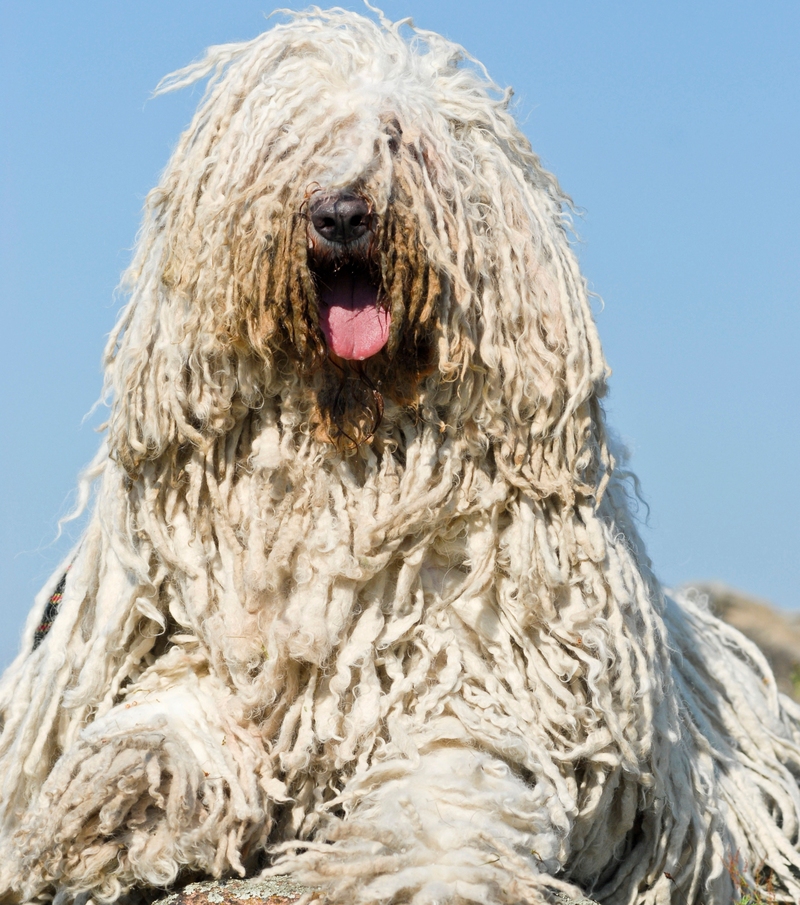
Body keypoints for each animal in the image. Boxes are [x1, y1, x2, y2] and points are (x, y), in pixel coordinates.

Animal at [1, 8, 800, 904]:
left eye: (399, 140)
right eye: (292, 139)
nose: (343, 214)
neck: (347, 445)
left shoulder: (475, 689)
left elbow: (446, 798)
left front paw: (430, 873)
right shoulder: (199, 642)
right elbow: (164, 717)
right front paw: (111, 810)